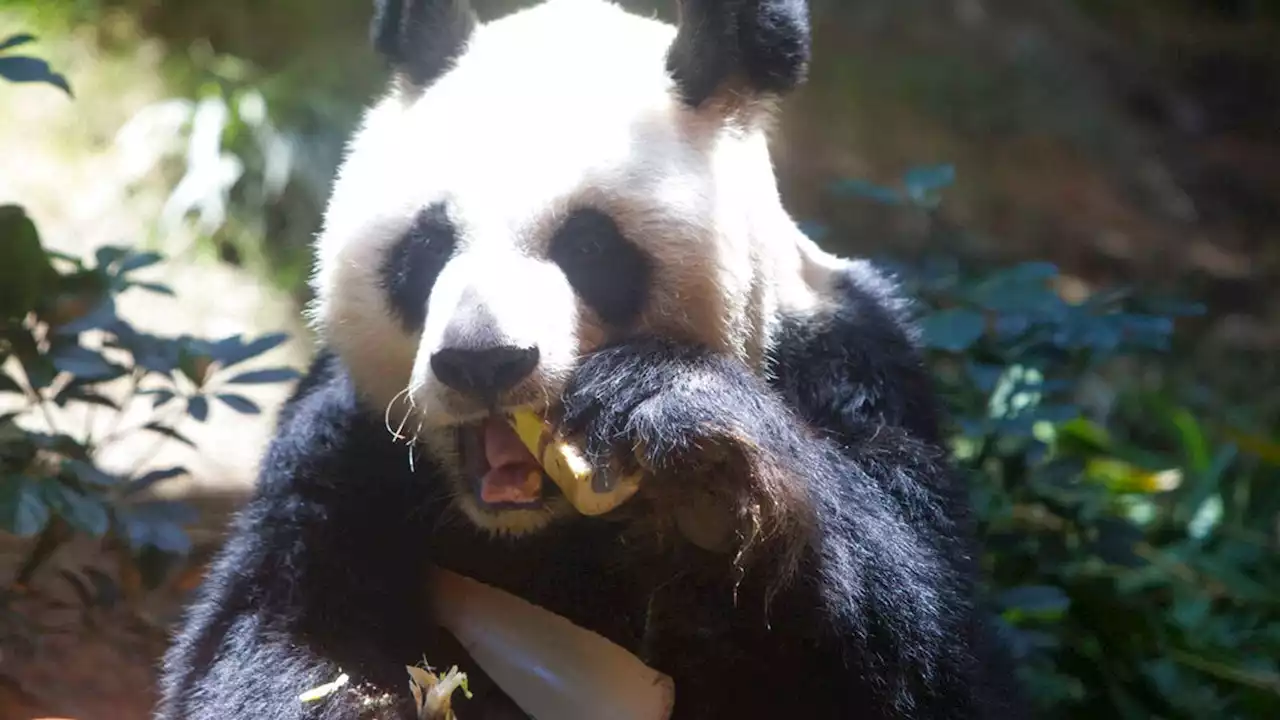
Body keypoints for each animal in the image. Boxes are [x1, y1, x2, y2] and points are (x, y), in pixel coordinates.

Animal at [154, 0, 1024, 712]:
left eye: (589, 247)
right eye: (426, 248)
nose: (483, 361)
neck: (544, 529)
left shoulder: (852, 371)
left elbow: (926, 655)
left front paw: (706, 462)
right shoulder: (341, 441)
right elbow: (277, 636)